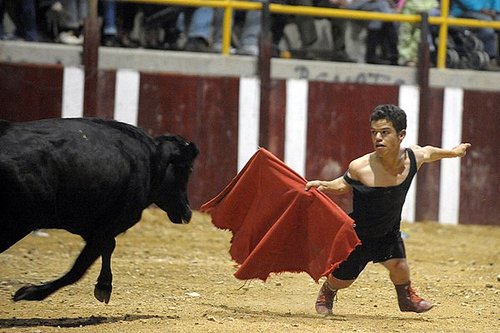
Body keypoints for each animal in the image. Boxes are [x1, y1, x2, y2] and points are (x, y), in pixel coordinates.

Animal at [0, 118, 199, 302]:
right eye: (188, 169)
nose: (188, 213)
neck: (152, 159)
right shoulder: (105, 227)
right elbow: (79, 268)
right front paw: (30, 292)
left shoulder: (91, 226)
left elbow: (107, 247)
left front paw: (104, 286)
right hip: (18, 224)